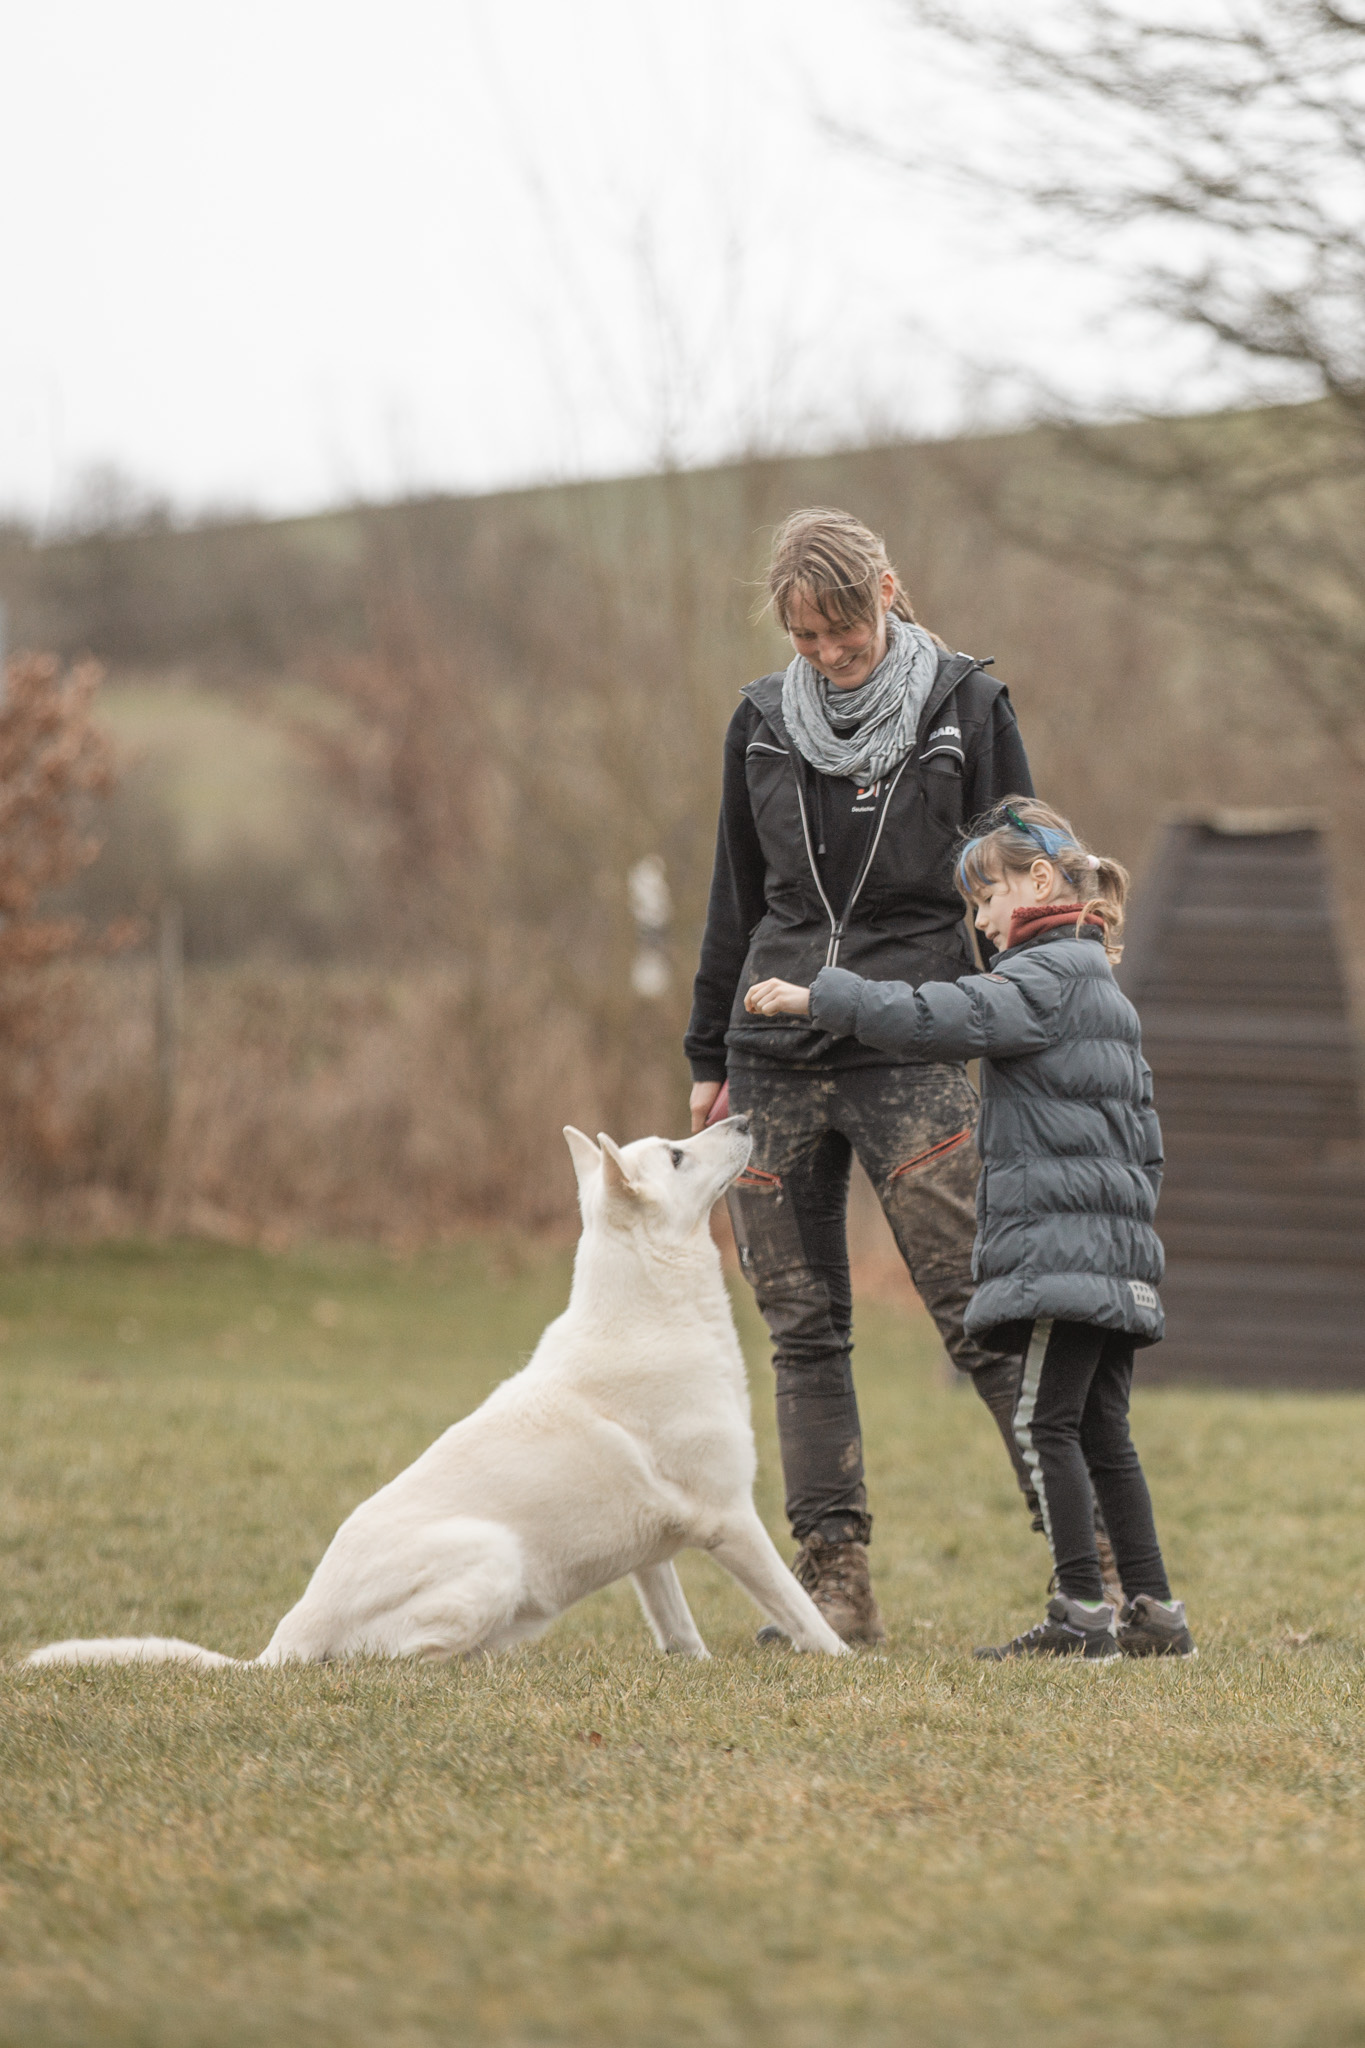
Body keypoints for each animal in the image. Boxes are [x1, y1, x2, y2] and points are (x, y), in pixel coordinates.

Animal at [26, 1114, 847, 1671]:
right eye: (677, 1153)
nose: (744, 1118)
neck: (650, 1306)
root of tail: (284, 1642)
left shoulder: (655, 1551)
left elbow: (677, 1626)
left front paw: (693, 1666)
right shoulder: (729, 1519)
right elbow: (800, 1608)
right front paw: (846, 1662)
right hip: (492, 1557)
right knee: (389, 1664)